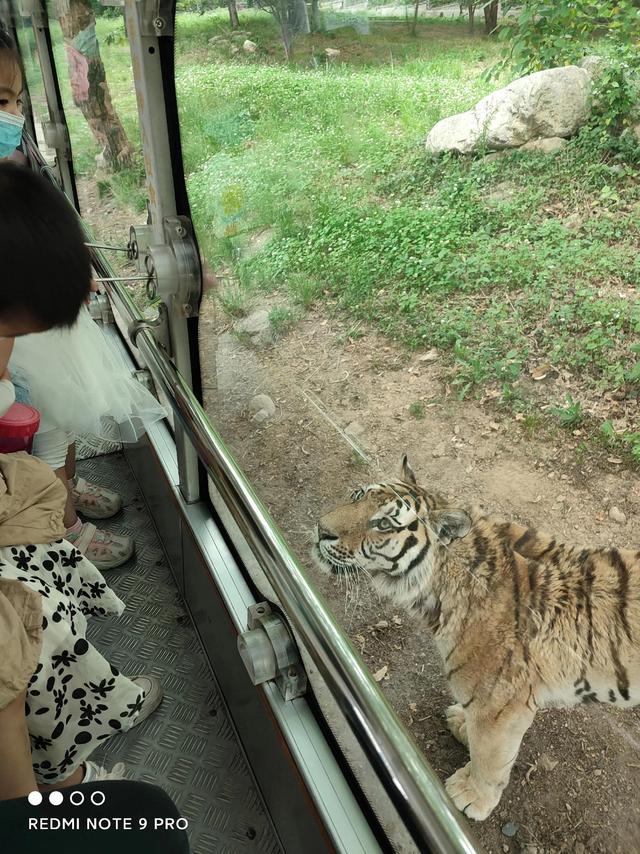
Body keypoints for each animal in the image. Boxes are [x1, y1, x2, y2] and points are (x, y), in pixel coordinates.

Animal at [314, 458, 640, 824]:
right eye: (357, 495)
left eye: (383, 524)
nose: (320, 529)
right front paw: (460, 723)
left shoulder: (498, 705)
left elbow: (490, 758)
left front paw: (472, 795)